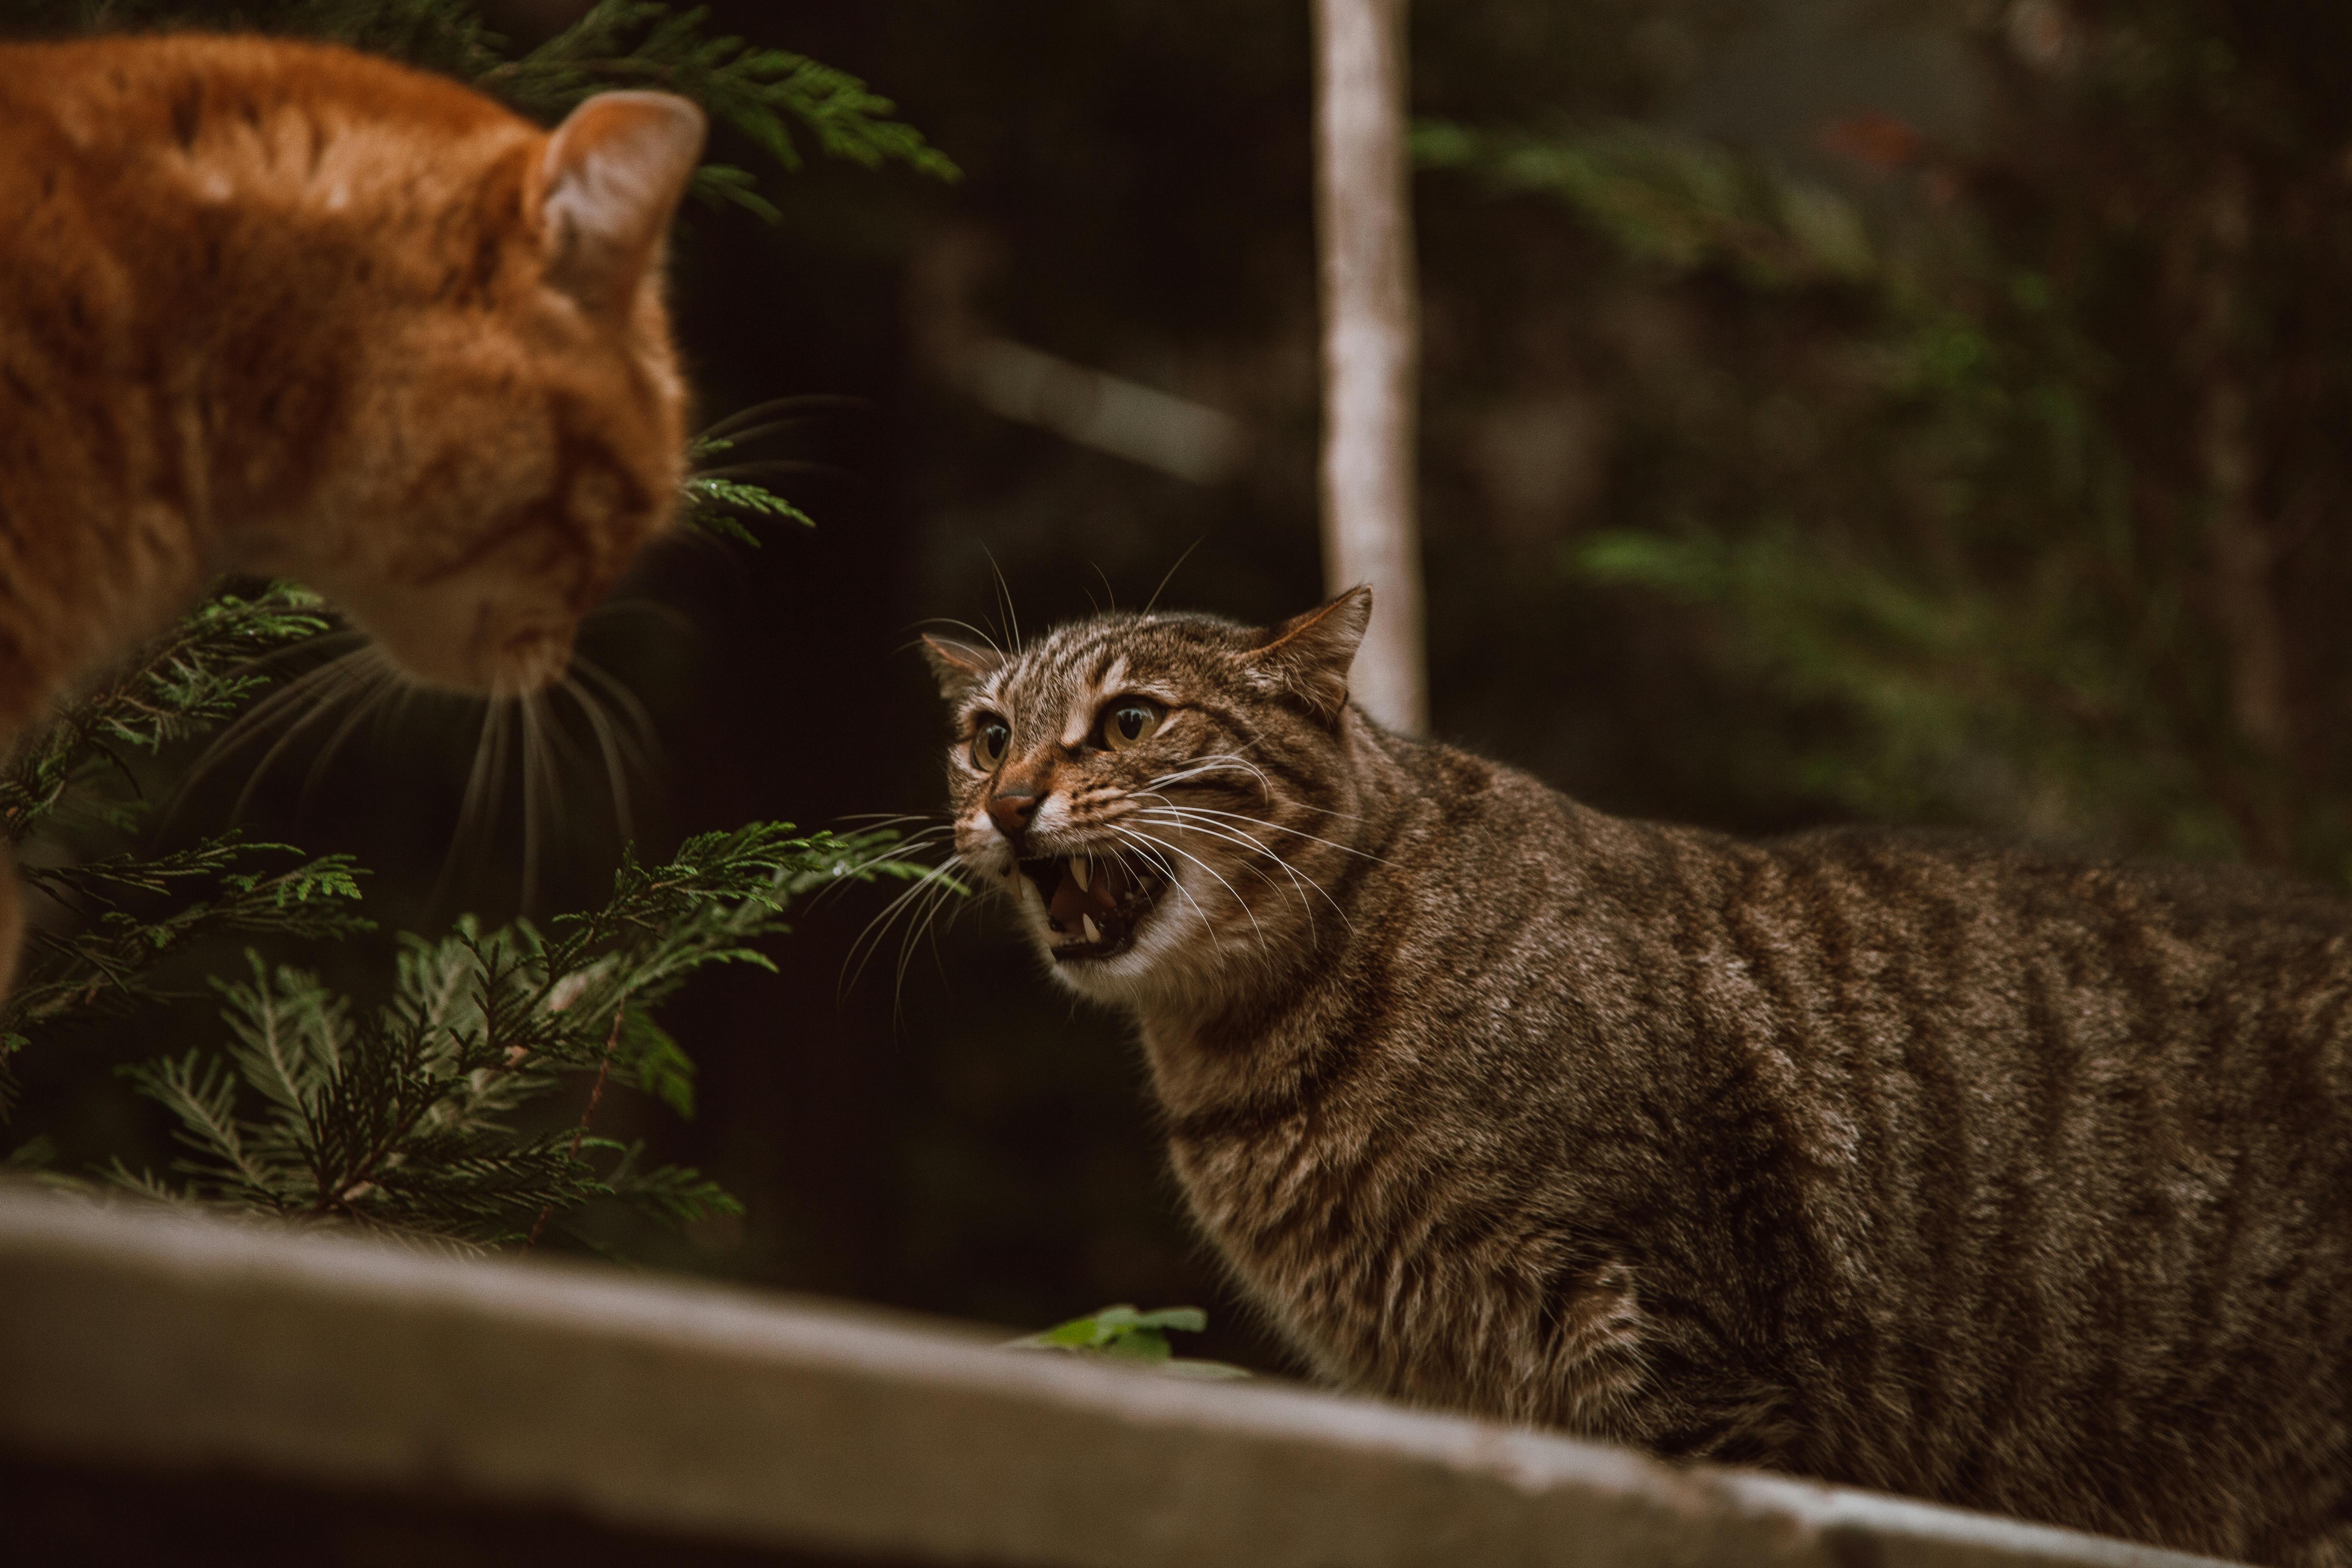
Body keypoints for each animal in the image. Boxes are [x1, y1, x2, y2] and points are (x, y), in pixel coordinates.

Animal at [926, 588, 2352, 1568]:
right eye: (985, 736)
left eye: (1130, 721)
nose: (1004, 801)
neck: (1247, 1057)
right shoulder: (1440, 1403)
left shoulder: (1669, 1346)